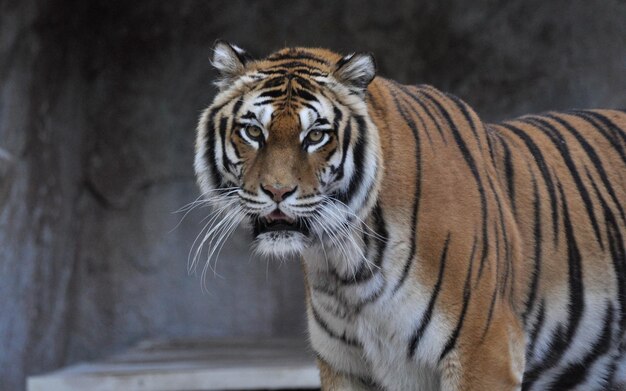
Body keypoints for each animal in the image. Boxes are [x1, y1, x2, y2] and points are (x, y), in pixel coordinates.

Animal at [193, 41, 620, 390]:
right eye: (253, 132)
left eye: (315, 136)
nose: (277, 192)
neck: (345, 263)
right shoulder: (344, 364)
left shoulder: (486, 350)